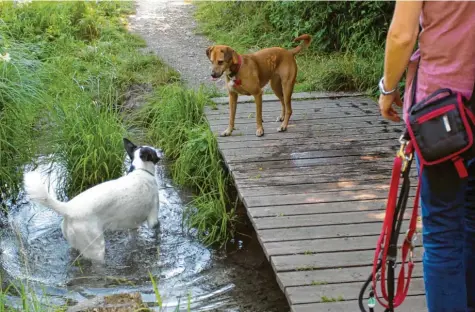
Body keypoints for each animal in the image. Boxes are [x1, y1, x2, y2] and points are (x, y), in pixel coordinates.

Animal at [23, 139, 162, 264]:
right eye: (154, 151)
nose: (161, 150)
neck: (141, 171)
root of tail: (69, 208)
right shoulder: (153, 218)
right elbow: (157, 229)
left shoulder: (132, 225)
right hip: (96, 248)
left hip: (75, 244)